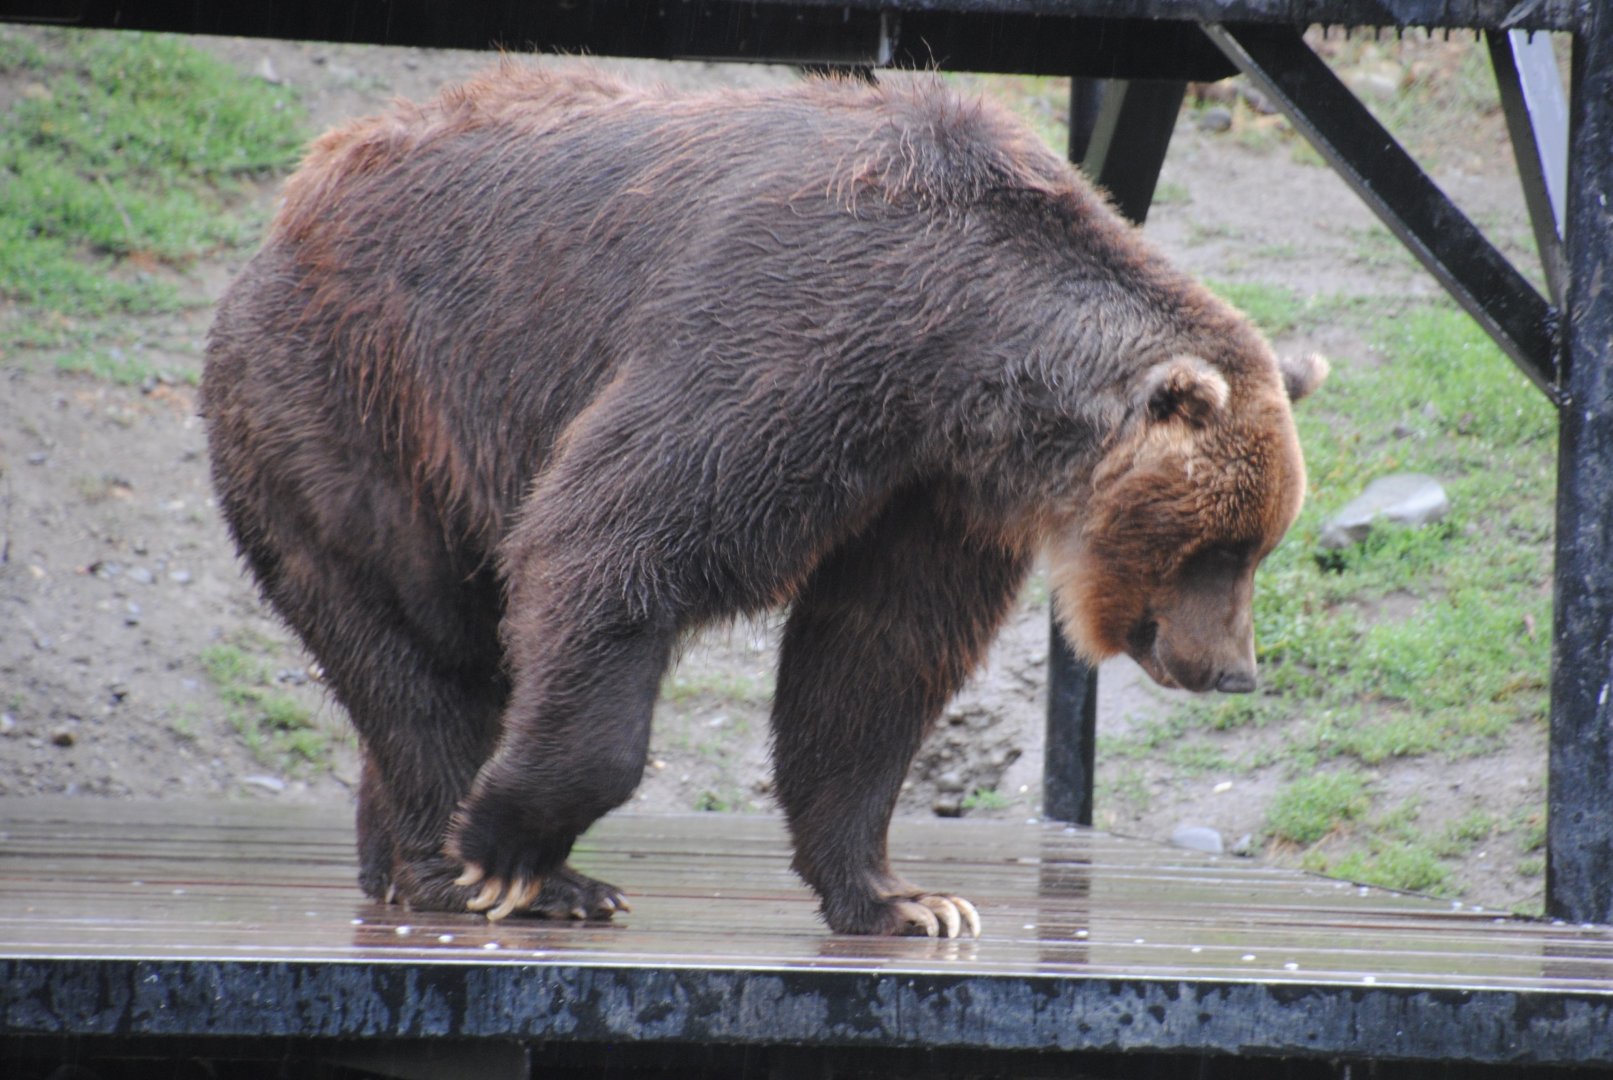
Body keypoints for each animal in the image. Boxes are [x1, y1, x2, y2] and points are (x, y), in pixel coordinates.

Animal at [202, 63, 1325, 939]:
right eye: (1218, 548)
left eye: (1257, 545)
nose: (1232, 669)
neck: (962, 356)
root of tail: (290, 206)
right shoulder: (791, 337)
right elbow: (612, 539)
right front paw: (506, 847)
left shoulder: (930, 492)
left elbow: (874, 658)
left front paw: (907, 898)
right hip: (360, 407)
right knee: (417, 642)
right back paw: (479, 869)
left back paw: (393, 860)